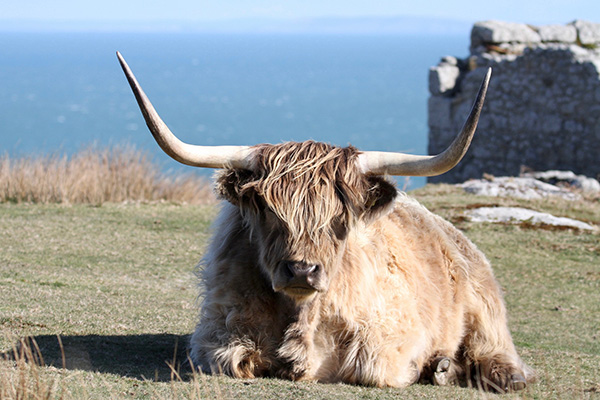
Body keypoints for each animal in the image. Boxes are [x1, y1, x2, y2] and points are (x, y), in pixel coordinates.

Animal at [117, 51, 536, 392]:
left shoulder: (389, 342)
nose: (302, 270)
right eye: (268, 211)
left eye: (340, 218)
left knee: (495, 352)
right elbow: (234, 359)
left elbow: (371, 368)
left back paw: (468, 371)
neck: (301, 318)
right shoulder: (216, 334)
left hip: (485, 309)